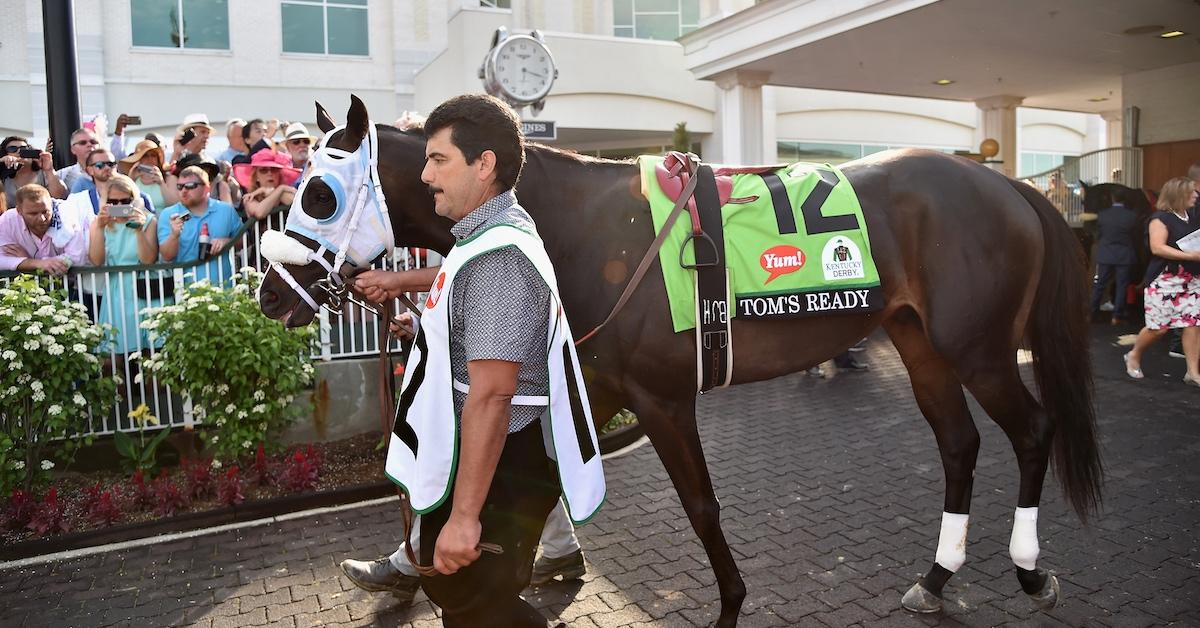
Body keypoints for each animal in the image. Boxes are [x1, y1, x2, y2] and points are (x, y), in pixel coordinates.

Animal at [258, 98, 1099, 628]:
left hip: (979, 347)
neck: (582, 227)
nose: (268, 292)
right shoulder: (591, 385)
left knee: (1033, 430)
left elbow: (700, 506)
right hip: (919, 341)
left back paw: (1032, 570)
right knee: (959, 444)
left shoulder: (662, 398)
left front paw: (729, 603)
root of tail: (1011, 185)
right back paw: (935, 577)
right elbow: (538, 486)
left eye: (319, 194)